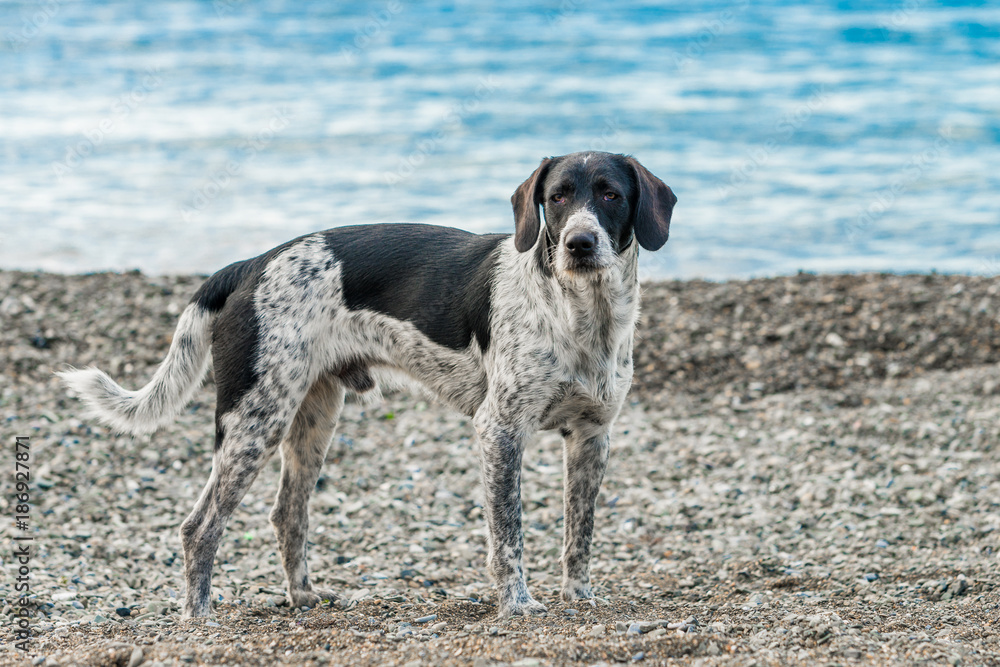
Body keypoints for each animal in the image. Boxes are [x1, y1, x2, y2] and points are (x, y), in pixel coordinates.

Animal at [60, 149, 672, 620]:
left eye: (610, 195)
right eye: (558, 197)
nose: (579, 244)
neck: (581, 312)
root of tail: (251, 264)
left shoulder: (592, 437)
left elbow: (579, 535)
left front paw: (578, 597)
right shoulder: (499, 431)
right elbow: (508, 535)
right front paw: (517, 605)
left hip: (312, 419)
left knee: (287, 514)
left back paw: (304, 598)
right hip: (253, 423)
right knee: (199, 527)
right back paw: (198, 616)